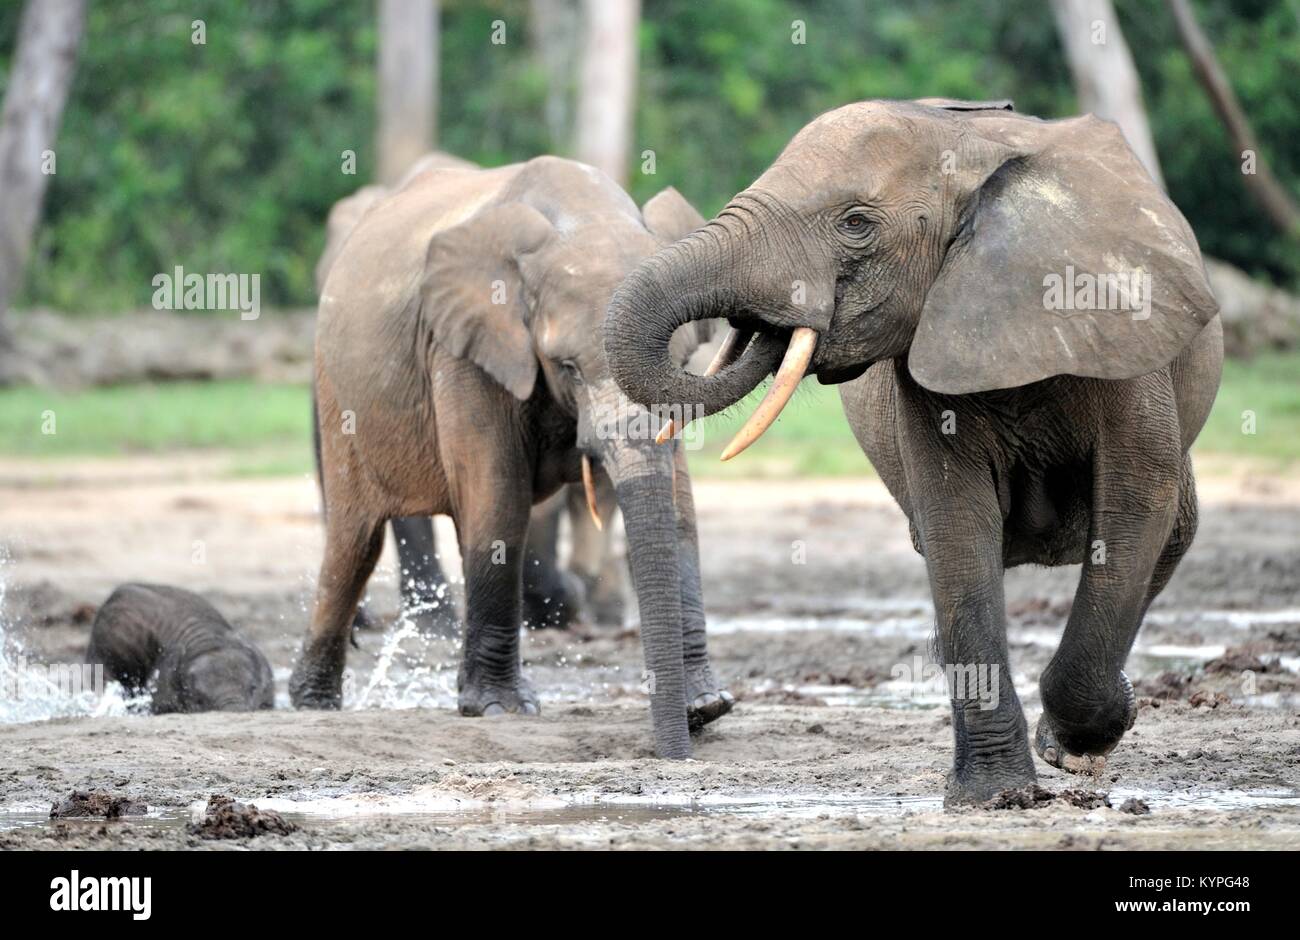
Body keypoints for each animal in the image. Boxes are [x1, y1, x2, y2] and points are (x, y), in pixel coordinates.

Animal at [604, 98, 1223, 799]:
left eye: (855, 223)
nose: (768, 323)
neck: (968, 148)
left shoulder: (1121, 327)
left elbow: (1132, 509)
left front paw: (1072, 750)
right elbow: (956, 523)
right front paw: (997, 799)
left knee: (1171, 535)